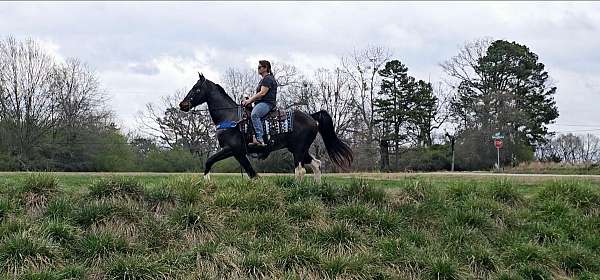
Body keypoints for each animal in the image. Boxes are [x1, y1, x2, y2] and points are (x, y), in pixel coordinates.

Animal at [178, 73, 352, 182]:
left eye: (196, 88)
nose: (182, 104)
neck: (230, 117)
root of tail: (312, 117)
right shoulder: (236, 152)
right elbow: (248, 171)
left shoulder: (234, 149)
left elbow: (212, 161)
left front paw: (207, 181)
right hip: (299, 149)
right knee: (316, 164)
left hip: (299, 149)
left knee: (300, 170)